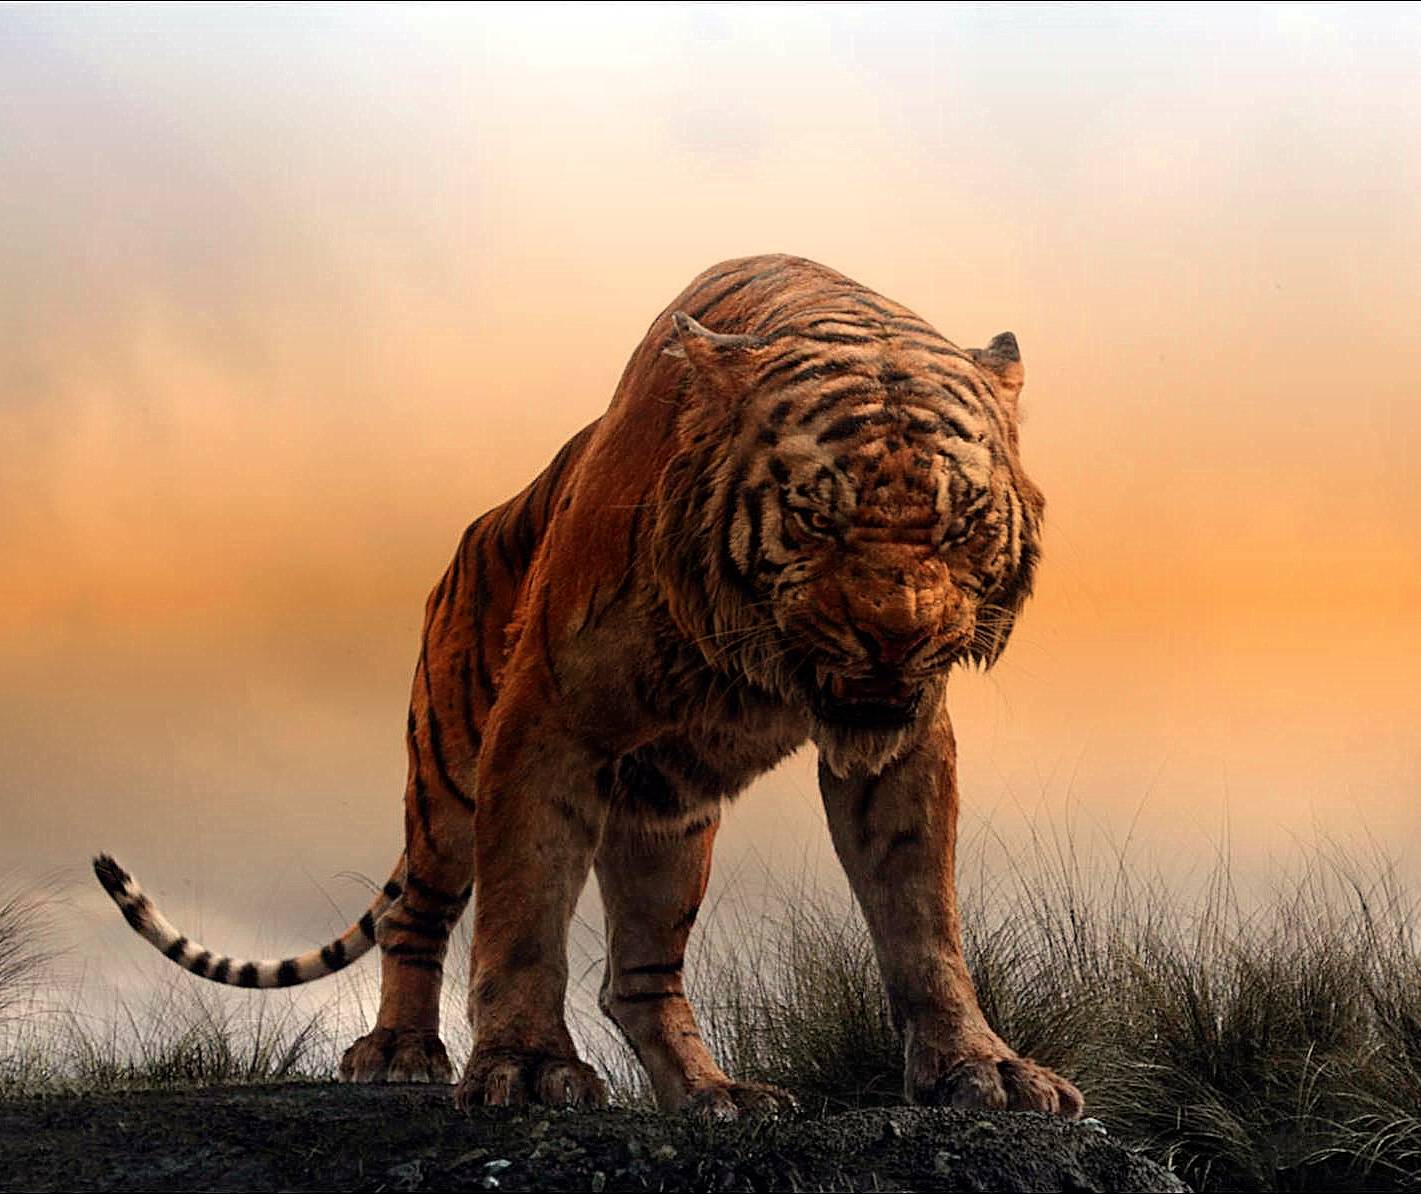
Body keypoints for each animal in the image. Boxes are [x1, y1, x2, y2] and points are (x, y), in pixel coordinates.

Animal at [95, 254, 1083, 1118]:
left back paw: (715, 1094)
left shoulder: (901, 745)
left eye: (961, 526)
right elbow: (526, 909)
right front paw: (530, 1069)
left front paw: (982, 1071)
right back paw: (400, 1052)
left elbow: (921, 917)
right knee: (418, 912)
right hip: (447, 774)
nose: (894, 634)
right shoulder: (546, 719)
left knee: (638, 976)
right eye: (813, 518)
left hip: (667, 808)